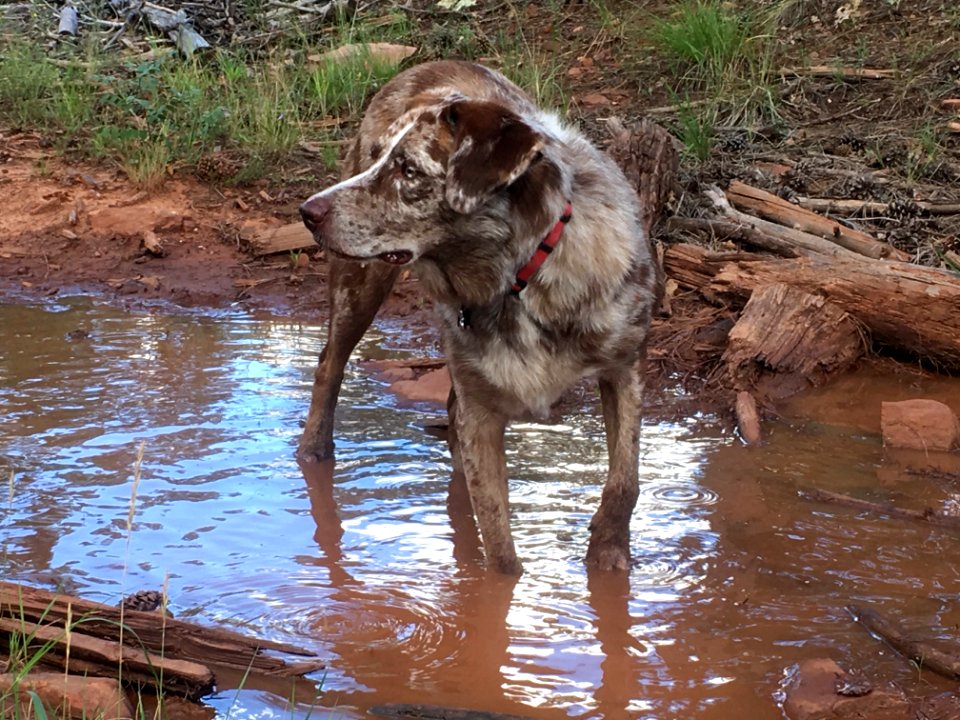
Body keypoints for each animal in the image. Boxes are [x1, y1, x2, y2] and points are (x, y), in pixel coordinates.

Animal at [298, 63, 660, 580]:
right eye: (378, 157)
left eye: (408, 169)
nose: (307, 211)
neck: (517, 279)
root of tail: (428, 63)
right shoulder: (482, 413)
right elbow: (499, 547)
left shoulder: (624, 366)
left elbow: (625, 478)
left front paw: (609, 558)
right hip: (360, 282)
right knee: (330, 363)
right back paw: (314, 453)